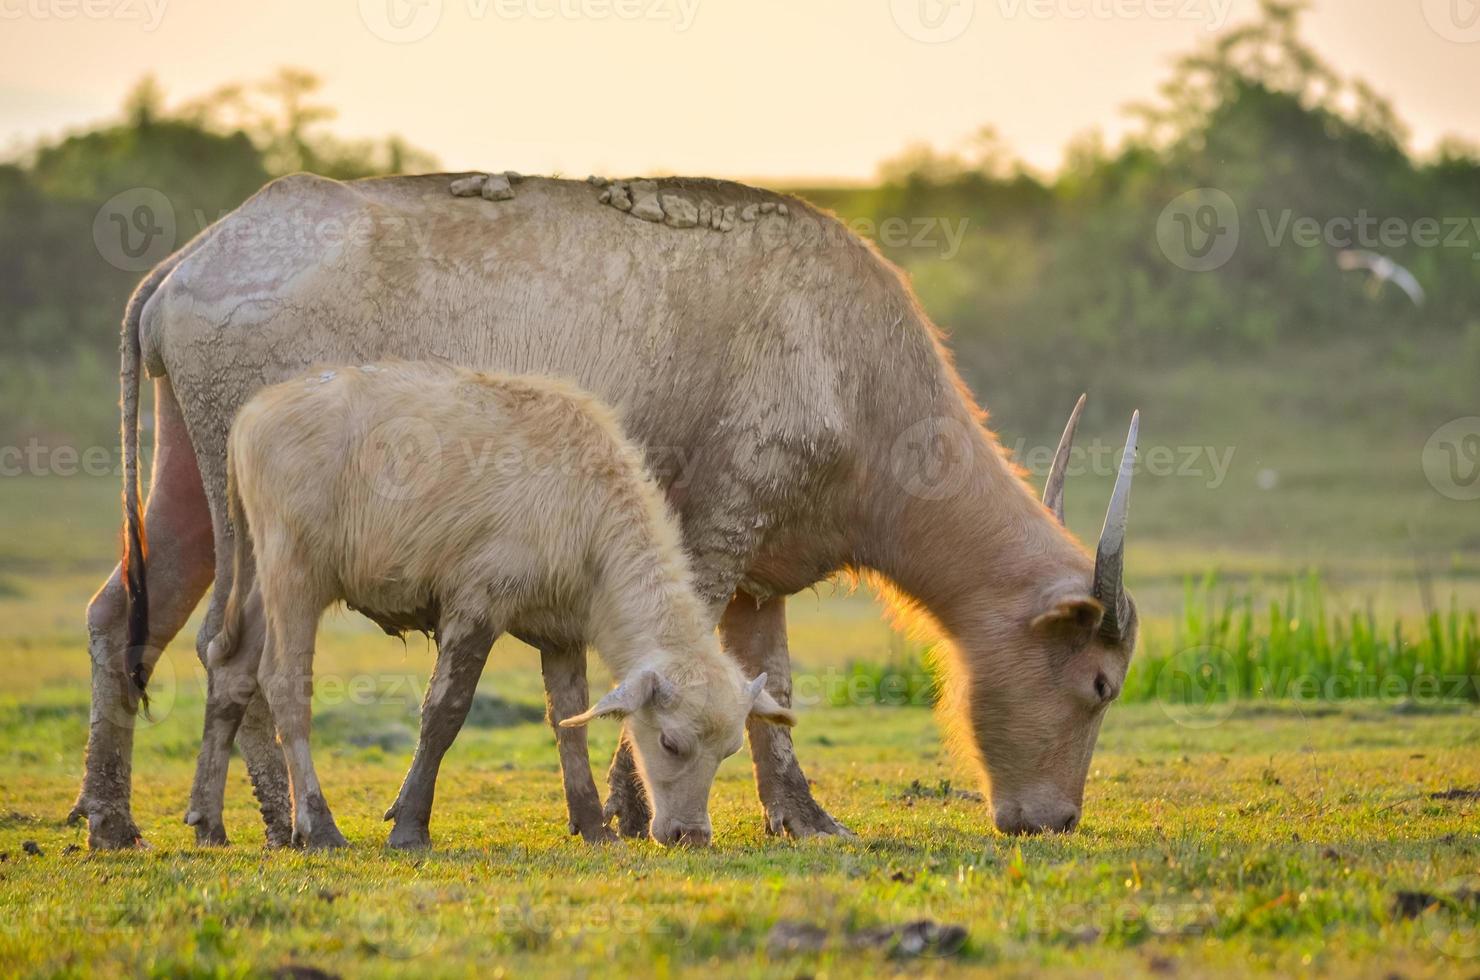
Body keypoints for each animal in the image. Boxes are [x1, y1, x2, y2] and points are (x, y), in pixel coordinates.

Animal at [187, 361, 799, 852]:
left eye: (729, 750)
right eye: (671, 743)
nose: (690, 835)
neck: (587, 513)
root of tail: (252, 415)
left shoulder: (560, 632)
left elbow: (569, 722)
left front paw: (591, 826)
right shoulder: (476, 605)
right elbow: (444, 714)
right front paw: (408, 827)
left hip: (258, 570)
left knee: (232, 670)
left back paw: (209, 822)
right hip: (294, 570)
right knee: (284, 684)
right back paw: (318, 827)